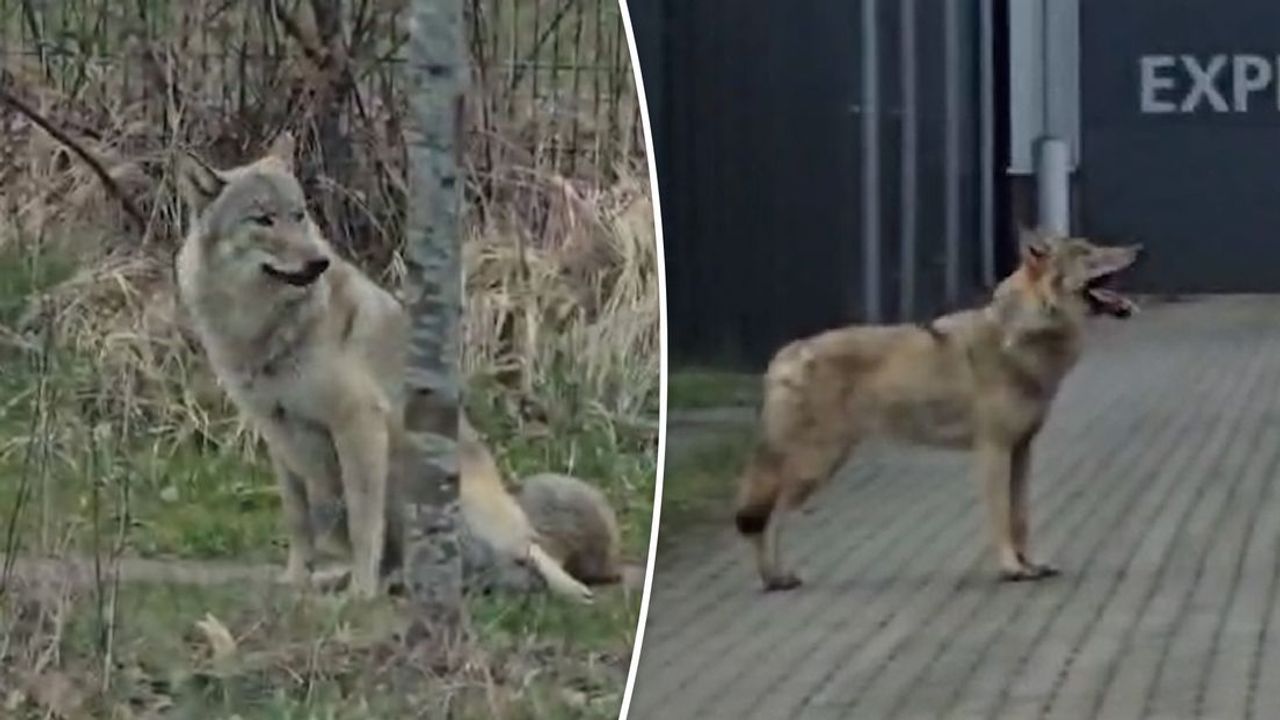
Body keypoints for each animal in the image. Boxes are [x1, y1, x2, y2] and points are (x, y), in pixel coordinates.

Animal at [174, 133, 593, 602]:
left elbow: (364, 523)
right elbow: (298, 524)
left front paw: (360, 594)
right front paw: (297, 582)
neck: (263, 327)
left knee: (515, 560)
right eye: (263, 219)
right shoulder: (278, 436)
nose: (317, 262)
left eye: (298, 215)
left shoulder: (358, 425)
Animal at [734, 230, 1142, 590]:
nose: (1137, 249)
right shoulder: (993, 450)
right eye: (1087, 253)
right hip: (817, 466)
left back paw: (774, 578)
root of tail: (785, 356)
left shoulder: (1022, 450)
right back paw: (777, 578)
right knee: (769, 520)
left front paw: (1031, 565)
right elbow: (1000, 517)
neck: (1025, 335)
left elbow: (1021, 517)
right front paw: (1011, 568)